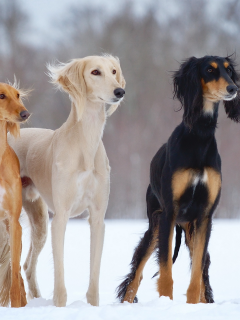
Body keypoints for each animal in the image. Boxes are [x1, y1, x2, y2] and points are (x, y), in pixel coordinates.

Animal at [7, 55, 125, 308]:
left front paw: (92, 306)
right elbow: (59, 275)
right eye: (95, 72)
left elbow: (94, 274)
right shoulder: (60, 217)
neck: (85, 142)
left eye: (113, 71)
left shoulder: (98, 217)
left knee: (28, 265)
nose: (120, 91)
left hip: (39, 221)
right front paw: (59, 306)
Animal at [116, 55, 240, 304]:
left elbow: (197, 276)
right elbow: (165, 272)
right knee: (136, 275)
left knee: (203, 274)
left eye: (229, 70)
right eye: (210, 70)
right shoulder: (168, 213)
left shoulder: (205, 217)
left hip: (190, 228)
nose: (234, 88)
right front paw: (166, 303)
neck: (199, 136)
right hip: (155, 224)